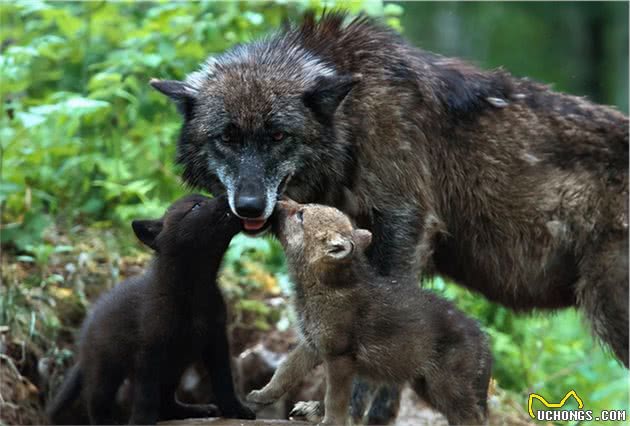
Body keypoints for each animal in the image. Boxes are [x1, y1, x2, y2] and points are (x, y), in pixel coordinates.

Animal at [47, 195, 254, 424]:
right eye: (196, 206)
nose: (228, 197)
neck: (194, 289)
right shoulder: (149, 351)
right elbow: (146, 395)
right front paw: (141, 421)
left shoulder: (216, 341)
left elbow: (224, 382)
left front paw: (235, 410)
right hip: (105, 369)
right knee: (96, 403)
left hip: (174, 366)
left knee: (167, 403)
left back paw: (194, 410)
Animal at [151, 10, 628, 422]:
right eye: (227, 138)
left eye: (278, 136)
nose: (249, 206)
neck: (354, 119)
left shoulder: (403, 230)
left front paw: (345, 411)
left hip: (609, 314)